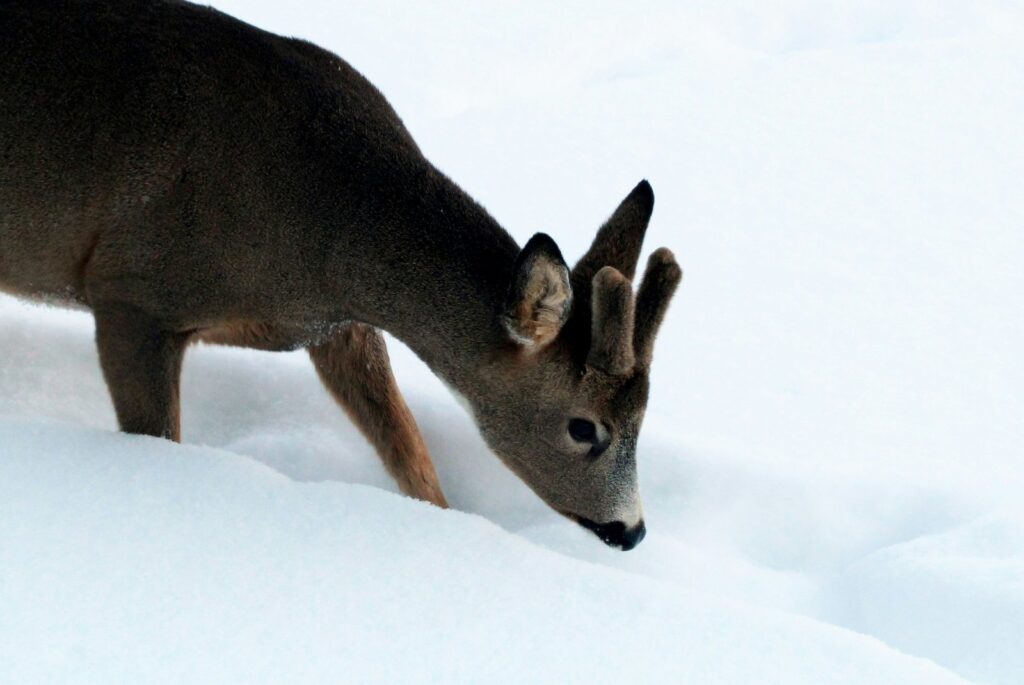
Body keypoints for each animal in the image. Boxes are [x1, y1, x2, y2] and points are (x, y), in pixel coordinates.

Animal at [4, 0, 684, 548]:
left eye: (644, 418)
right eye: (583, 427)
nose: (631, 531)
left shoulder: (337, 327)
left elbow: (411, 454)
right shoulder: (133, 291)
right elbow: (158, 442)